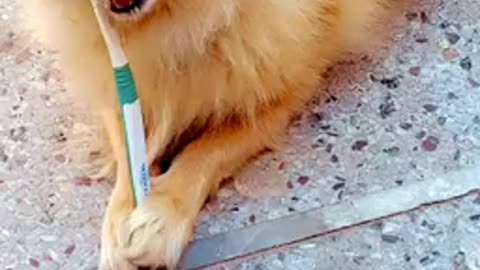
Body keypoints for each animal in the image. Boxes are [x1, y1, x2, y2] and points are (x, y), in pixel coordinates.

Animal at [18, 1, 406, 268]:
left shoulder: (287, 85)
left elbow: (208, 149)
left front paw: (161, 215)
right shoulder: (117, 81)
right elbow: (129, 150)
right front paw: (118, 223)